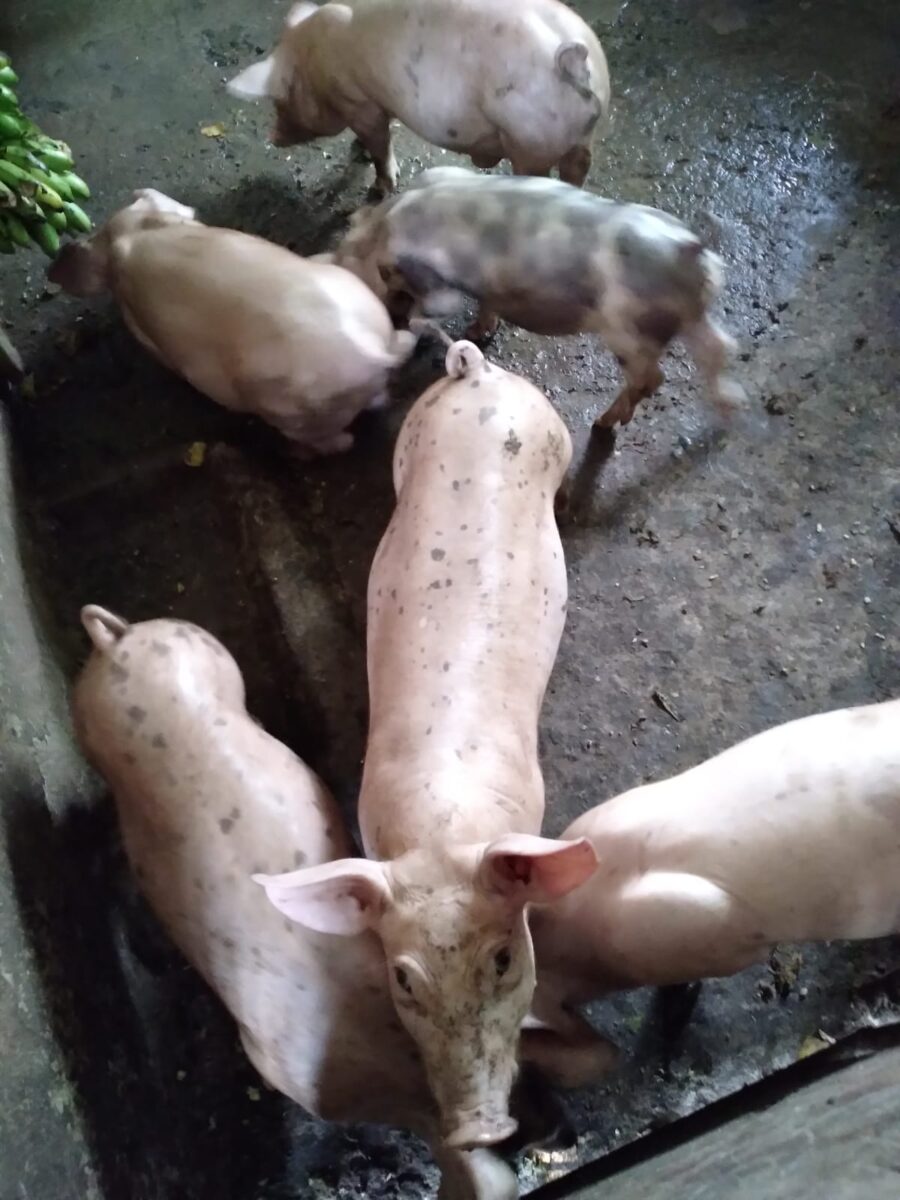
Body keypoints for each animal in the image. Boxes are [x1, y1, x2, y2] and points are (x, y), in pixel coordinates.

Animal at [226, 0, 610, 194]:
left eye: (280, 101)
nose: (273, 138)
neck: (313, 60)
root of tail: (572, 59)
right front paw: (358, 150)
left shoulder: (359, 101)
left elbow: (380, 145)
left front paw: (380, 186)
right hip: (583, 135)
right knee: (579, 169)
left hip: (529, 142)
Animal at [254, 342, 608, 1151]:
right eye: (404, 980)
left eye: (504, 960)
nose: (476, 1129)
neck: (444, 832)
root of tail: (476, 374)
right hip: (411, 444)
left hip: (549, 430)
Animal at [331, 166, 747, 429]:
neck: (384, 228)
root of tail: (688, 247)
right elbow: (486, 303)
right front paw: (477, 330)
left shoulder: (439, 285)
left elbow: (435, 308)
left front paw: (421, 324)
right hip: (693, 313)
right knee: (721, 347)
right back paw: (730, 409)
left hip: (630, 331)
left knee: (653, 378)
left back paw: (603, 423)